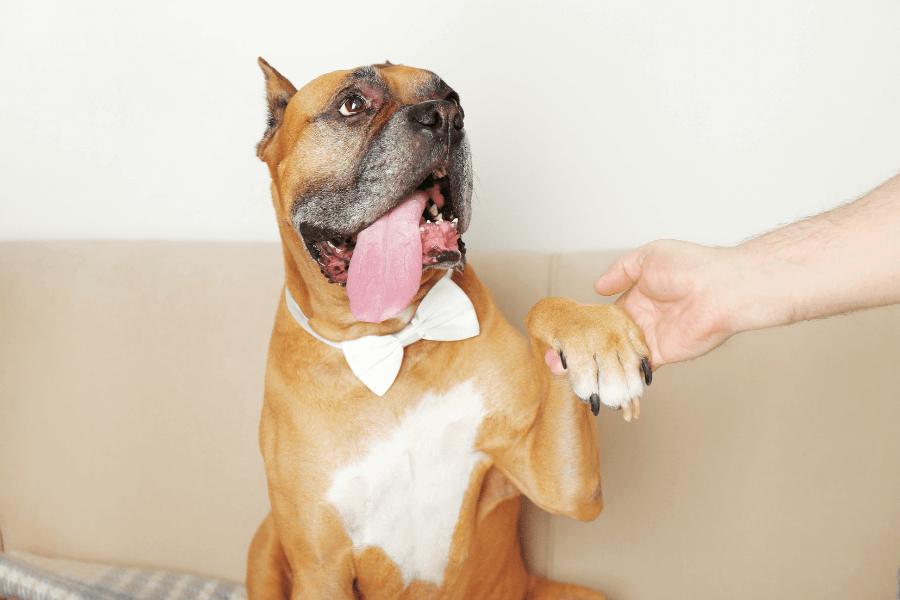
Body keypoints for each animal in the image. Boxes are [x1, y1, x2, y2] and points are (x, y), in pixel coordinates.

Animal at [246, 57, 652, 600]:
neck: (391, 338)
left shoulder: (561, 483)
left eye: (453, 96)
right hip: (265, 540)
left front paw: (596, 339)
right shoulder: (320, 567)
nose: (444, 117)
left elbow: (543, 306)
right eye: (351, 104)